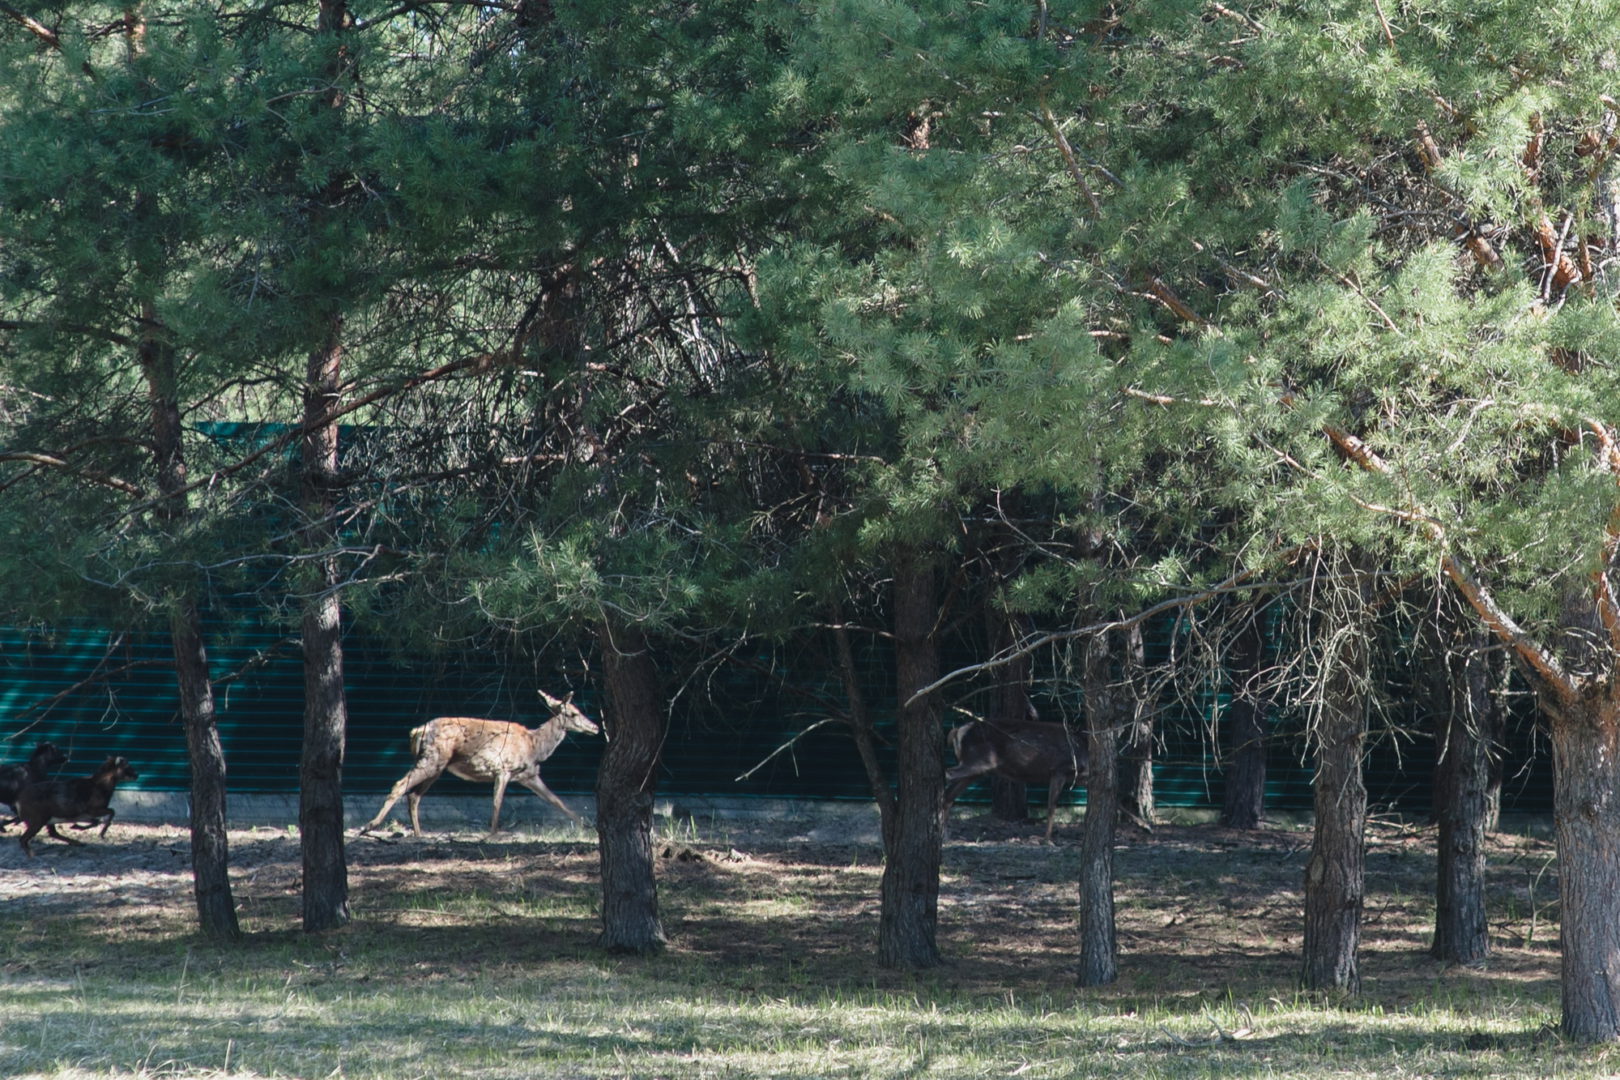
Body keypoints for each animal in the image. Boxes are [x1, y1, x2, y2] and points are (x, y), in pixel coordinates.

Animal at [361, 693, 602, 835]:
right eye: (574, 713)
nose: (596, 727)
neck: (535, 746)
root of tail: (416, 731)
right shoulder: (503, 769)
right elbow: (497, 802)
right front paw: (493, 834)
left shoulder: (529, 775)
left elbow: (556, 800)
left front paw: (586, 826)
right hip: (431, 758)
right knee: (400, 785)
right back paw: (370, 825)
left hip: (437, 766)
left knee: (414, 795)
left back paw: (419, 834)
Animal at [939, 718, 1088, 841]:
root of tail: (957, 731)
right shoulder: (1059, 769)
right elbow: (1052, 807)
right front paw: (1047, 840)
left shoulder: (1081, 778)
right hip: (977, 761)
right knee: (946, 775)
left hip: (976, 770)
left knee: (949, 796)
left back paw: (945, 837)